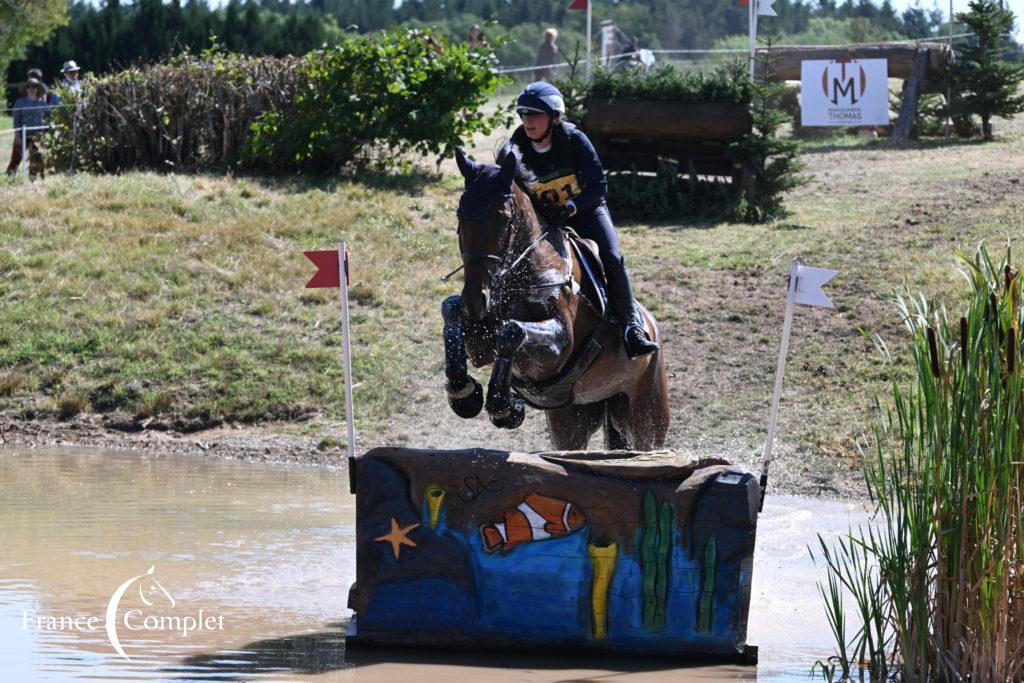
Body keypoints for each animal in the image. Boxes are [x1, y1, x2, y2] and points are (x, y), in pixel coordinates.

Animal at [442, 148, 671, 448]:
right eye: (460, 214)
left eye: (503, 217)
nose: (474, 301)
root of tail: (653, 328)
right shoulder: (481, 342)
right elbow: (451, 310)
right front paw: (465, 394)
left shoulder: (558, 348)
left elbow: (512, 330)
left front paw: (504, 406)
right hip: (573, 420)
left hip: (646, 419)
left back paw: (637, 336)